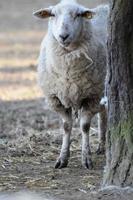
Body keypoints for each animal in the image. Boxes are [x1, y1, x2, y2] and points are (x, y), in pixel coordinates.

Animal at [33, 0, 108, 169]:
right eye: (53, 14)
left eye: (78, 15)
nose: (63, 36)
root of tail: (106, 6)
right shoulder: (56, 98)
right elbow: (66, 127)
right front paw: (62, 159)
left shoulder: (92, 96)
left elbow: (85, 126)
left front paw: (86, 158)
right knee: (103, 115)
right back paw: (101, 146)